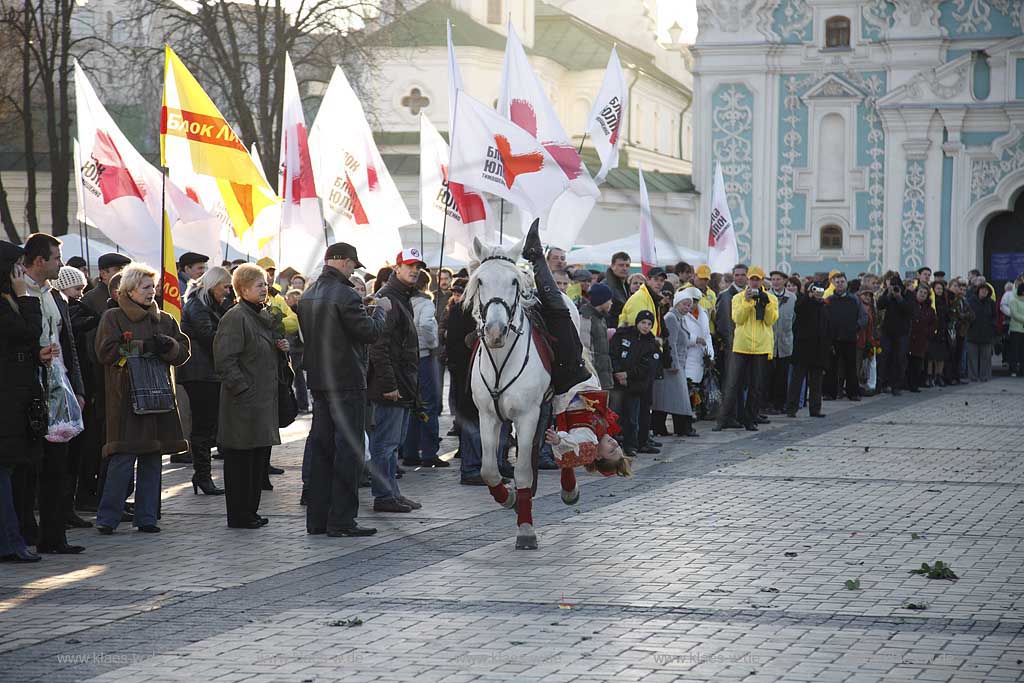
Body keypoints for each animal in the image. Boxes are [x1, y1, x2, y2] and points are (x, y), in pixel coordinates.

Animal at [466, 235, 552, 548]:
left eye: (514, 281)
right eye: (480, 281)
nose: (495, 331)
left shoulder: (527, 416)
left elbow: (523, 471)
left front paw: (526, 530)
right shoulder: (487, 416)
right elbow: (488, 470)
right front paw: (510, 498)